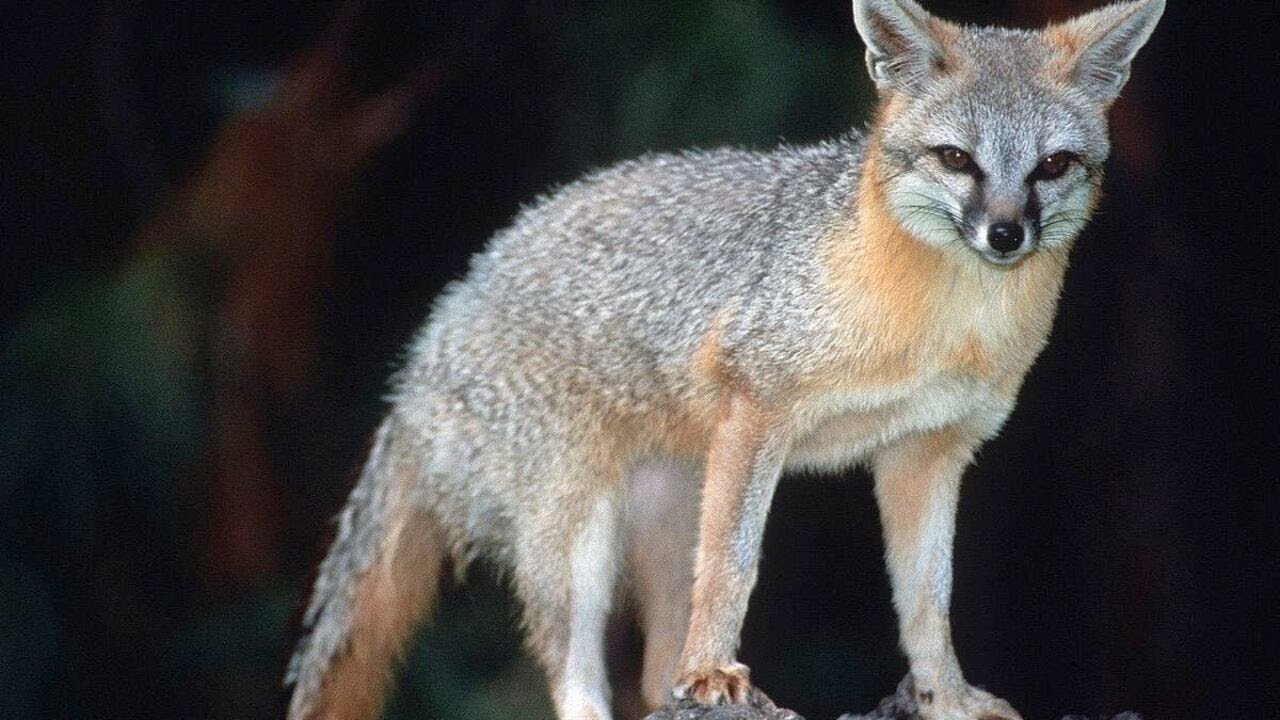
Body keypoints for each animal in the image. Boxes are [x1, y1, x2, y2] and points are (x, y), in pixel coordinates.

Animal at [284, 1, 1164, 719]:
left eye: (1052, 166)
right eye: (957, 159)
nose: (1006, 235)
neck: (943, 324)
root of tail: (426, 347)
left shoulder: (927, 451)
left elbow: (928, 602)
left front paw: (945, 697)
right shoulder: (756, 408)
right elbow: (736, 567)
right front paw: (713, 671)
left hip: (669, 515)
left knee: (650, 675)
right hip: (577, 537)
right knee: (576, 670)